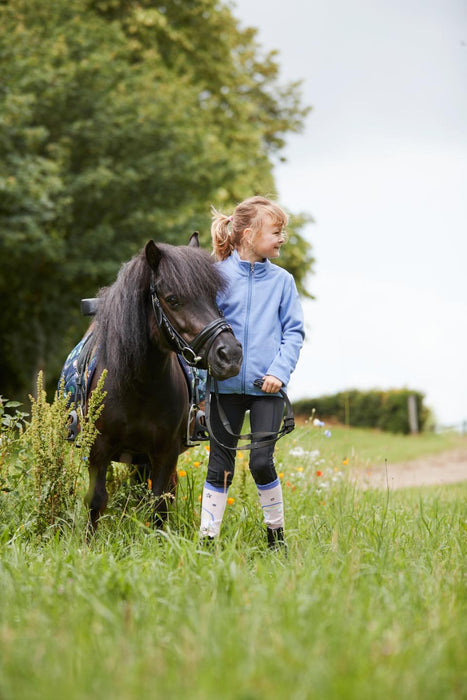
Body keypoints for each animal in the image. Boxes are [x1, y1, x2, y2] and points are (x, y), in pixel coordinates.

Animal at [75, 232, 243, 528]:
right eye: (173, 299)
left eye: (213, 296)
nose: (230, 354)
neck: (139, 386)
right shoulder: (98, 450)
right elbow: (96, 500)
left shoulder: (165, 452)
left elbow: (158, 505)